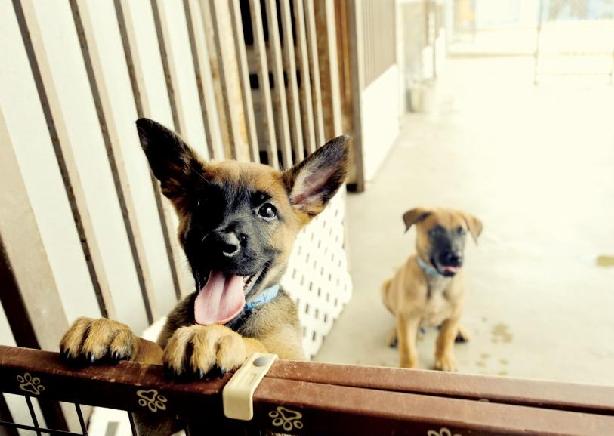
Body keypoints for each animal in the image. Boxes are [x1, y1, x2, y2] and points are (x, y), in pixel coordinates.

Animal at [61, 117, 352, 434]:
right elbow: (148, 351)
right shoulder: (154, 408)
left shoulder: (290, 384)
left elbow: (260, 349)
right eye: (203, 204)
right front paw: (109, 329)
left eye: (267, 211)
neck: (232, 319)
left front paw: (215, 338)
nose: (220, 243)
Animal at [382, 208, 484, 372]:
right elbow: (407, 347)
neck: (437, 280)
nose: (456, 258)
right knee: (396, 317)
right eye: (436, 231)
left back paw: (459, 330)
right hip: (386, 288)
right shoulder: (407, 317)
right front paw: (408, 368)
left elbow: (445, 338)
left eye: (462, 232)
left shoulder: (454, 312)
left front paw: (444, 360)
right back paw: (395, 333)